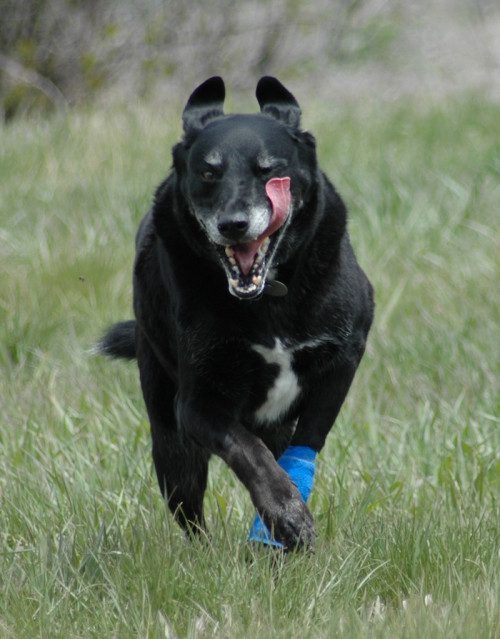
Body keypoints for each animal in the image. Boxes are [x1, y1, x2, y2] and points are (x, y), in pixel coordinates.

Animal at [99, 79, 374, 552]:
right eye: (209, 173)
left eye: (269, 170)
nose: (233, 224)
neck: (268, 295)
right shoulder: (197, 406)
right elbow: (250, 455)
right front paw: (285, 516)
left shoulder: (344, 356)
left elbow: (305, 441)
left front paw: (283, 521)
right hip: (169, 438)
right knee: (190, 513)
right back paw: (205, 555)